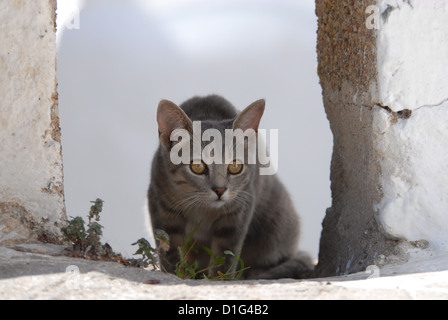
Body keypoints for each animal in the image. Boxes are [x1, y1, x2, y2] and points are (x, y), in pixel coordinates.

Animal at [147, 95, 312, 280]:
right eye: (197, 166)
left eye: (235, 166)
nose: (220, 189)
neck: (202, 209)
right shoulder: (161, 205)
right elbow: (168, 246)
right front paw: (175, 274)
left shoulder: (238, 211)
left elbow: (226, 254)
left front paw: (219, 279)